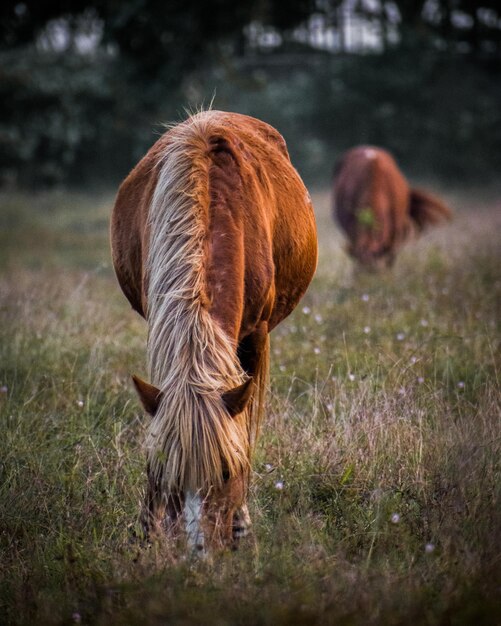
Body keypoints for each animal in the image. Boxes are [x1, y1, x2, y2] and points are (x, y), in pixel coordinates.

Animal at [112, 109, 318, 548]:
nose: (198, 551)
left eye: (226, 472)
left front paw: (241, 524)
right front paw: (145, 532)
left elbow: (243, 429)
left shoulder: (256, 336)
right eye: (160, 472)